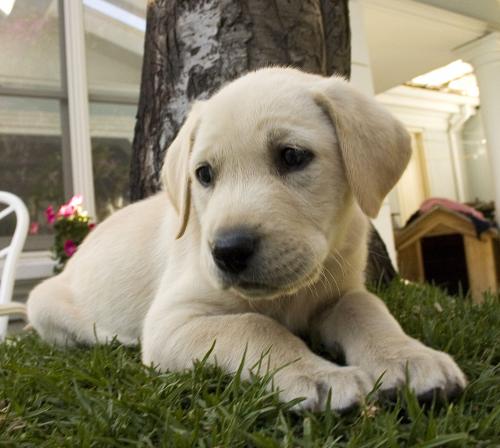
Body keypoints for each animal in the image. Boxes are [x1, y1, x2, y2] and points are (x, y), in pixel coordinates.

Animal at [24, 65, 468, 410]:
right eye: (204, 174)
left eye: (292, 156)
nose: (228, 251)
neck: (288, 296)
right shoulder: (171, 322)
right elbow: (254, 325)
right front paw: (315, 374)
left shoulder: (339, 291)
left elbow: (366, 307)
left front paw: (406, 358)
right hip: (43, 302)